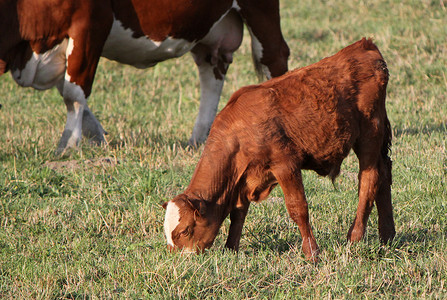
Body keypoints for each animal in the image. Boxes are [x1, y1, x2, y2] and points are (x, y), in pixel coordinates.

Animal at [0, 0, 288, 155]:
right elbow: (67, 89)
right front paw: (96, 135)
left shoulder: (91, 23)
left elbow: (74, 92)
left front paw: (68, 144)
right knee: (211, 71)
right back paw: (199, 138)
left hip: (260, 10)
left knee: (275, 57)